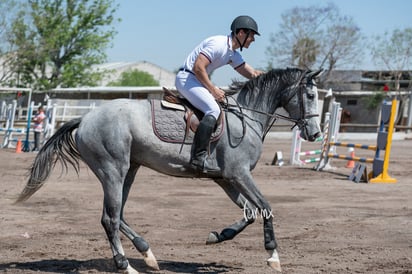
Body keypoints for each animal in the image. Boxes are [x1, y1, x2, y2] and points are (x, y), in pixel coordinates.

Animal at [16, 67, 324, 272]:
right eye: (310, 94)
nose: (315, 134)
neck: (246, 118)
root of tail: (85, 119)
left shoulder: (225, 178)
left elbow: (250, 212)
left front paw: (218, 236)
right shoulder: (239, 174)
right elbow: (266, 207)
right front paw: (273, 257)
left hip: (129, 170)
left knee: (118, 214)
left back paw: (148, 254)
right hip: (113, 170)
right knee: (109, 218)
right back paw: (125, 264)